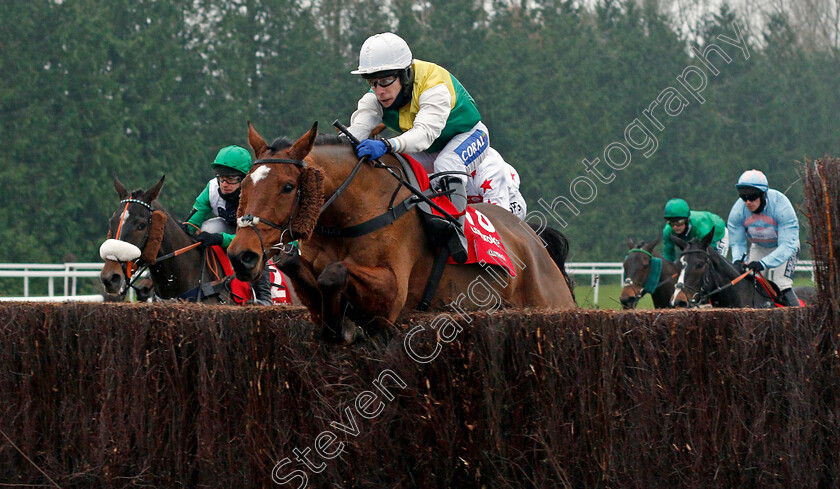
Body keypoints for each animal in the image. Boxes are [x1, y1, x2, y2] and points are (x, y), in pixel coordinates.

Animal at [226, 122, 576, 344]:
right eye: (245, 185)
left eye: (287, 187)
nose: (242, 255)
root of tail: (535, 241)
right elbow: (298, 268)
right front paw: (338, 323)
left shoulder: (393, 292)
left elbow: (335, 272)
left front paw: (345, 327)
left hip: (549, 302)